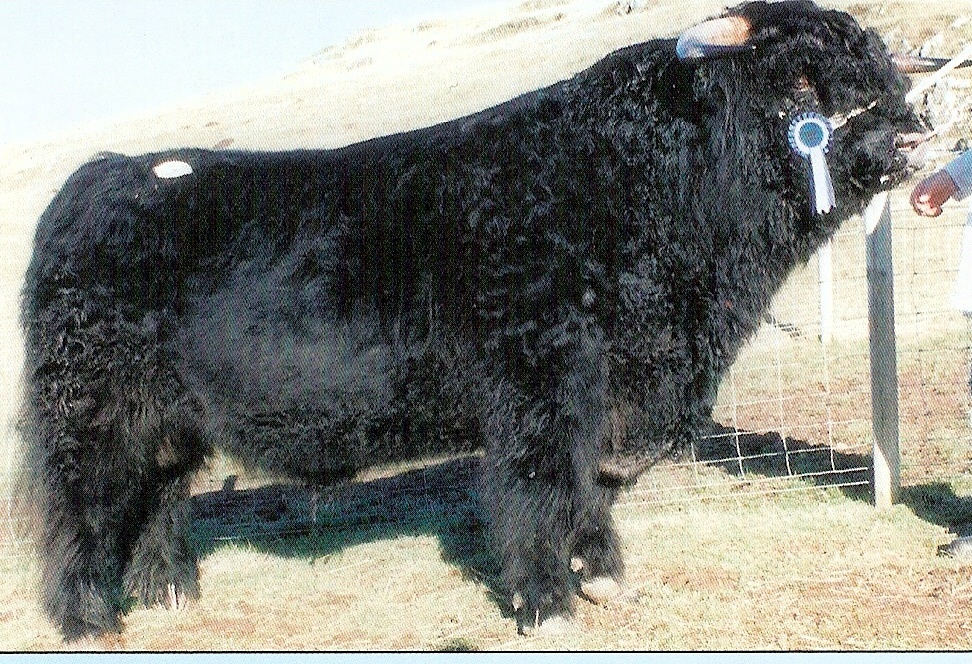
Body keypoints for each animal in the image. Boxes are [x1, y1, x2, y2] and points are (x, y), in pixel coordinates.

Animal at [22, 2, 932, 640]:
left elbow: (588, 490)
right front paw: (549, 602)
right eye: (801, 84)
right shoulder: (539, 390)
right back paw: (89, 619)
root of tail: (106, 176)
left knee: (159, 494)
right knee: (79, 503)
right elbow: (538, 489)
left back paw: (171, 594)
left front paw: (602, 575)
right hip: (91, 409)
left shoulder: (604, 399)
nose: (915, 137)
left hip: (165, 417)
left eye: (881, 75)